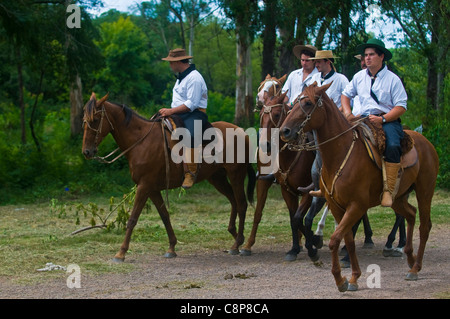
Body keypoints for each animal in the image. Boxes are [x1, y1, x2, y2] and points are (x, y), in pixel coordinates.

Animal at [82, 93, 255, 262]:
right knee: (233, 200)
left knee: (241, 204)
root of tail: (242, 132)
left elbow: (133, 219)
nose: (87, 152)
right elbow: (164, 215)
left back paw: (238, 244)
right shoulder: (151, 188)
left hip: (236, 174)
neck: (141, 141)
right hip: (217, 178)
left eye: (95, 120)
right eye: (84, 120)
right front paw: (171, 247)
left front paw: (121, 253)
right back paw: (235, 237)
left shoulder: (144, 186)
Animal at [239, 86, 316, 262]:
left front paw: (312, 241)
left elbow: (299, 218)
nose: (264, 145)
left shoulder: (308, 192)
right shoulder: (280, 187)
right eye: (261, 115)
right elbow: (289, 217)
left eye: (276, 115)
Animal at [282, 84, 440, 292]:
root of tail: (427, 143)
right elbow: (348, 239)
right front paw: (354, 278)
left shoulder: (356, 205)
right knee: (411, 214)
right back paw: (409, 257)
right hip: (397, 198)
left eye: (308, 103)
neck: (339, 155)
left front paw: (340, 279)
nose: (284, 130)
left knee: (424, 225)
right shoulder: (336, 205)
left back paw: (415, 268)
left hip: (424, 191)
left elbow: (335, 239)